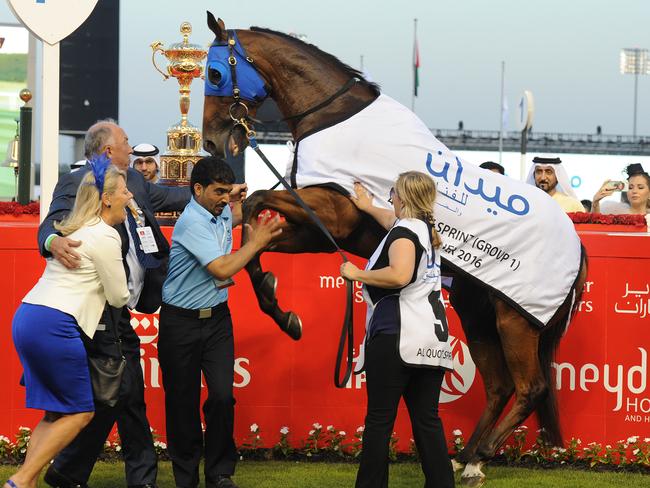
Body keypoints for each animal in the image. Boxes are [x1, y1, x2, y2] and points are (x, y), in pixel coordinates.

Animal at [202, 13, 588, 486]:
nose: (211, 141)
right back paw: (464, 454)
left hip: (515, 320)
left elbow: (257, 199)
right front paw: (280, 308)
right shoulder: (322, 229)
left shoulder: (332, 211)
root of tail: (576, 247)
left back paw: (479, 459)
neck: (334, 119)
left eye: (214, 73)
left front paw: (279, 303)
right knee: (498, 385)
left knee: (530, 387)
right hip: (477, 312)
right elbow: (259, 231)